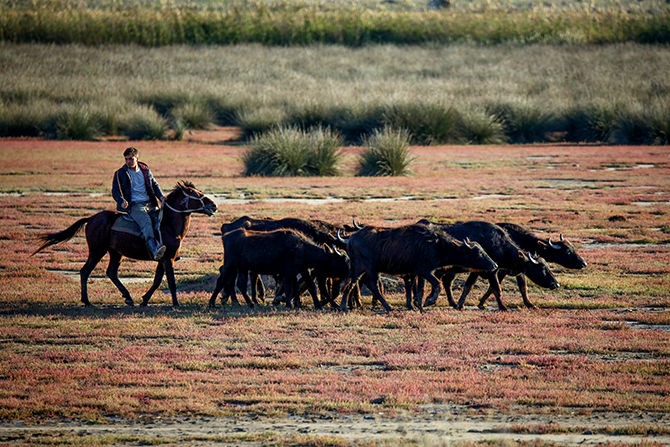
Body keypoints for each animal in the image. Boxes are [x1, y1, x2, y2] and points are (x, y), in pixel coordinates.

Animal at [32, 182, 217, 308]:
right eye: (193, 193)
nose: (213, 205)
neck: (168, 225)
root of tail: (91, 219)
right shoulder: (168, 259)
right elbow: (170, 281)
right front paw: (175, 304)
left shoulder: (162, 259)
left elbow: (157, 280)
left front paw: (144, 300)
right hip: (97, 251)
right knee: (85, 271)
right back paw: (87, 301)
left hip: (115, 253)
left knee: (111, 272)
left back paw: (128, 296)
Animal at [209, 229, 346, 310]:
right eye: (342, 260)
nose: (348, 272)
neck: (302, 248)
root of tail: (226, 235)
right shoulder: (288, 273)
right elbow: (289, 289)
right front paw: (287, 303)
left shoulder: (302, 270)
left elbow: (309, 286)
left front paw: (317, 305)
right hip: (229, 266)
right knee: (221, 282)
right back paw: (211, 303)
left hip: (242, 268)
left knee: (241, 284)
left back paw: (250, 303)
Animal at [342, 226, 498, 314]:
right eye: (478, 253)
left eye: (483, 250)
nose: (494, 265)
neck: (436, 245)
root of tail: (351, 238)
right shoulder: (424, 271)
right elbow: (438, 284)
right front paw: (429, 302)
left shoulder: (420, 274)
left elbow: (420, 290)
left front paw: (421, 307)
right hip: (370, 268)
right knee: (372, 285)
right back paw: (388, 307)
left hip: (358, 268)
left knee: (350, 283)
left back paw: (343, 307)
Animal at [420, 221, 560, 312]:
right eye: (542, 268)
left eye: (548, 267)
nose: (556, 284)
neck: (500, 247)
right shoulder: (490, 272)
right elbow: (495, 288)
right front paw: (503, 307)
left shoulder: (513, 272)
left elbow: (522, 289)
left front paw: (530, 305)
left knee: (445, 281)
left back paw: (449, 303)